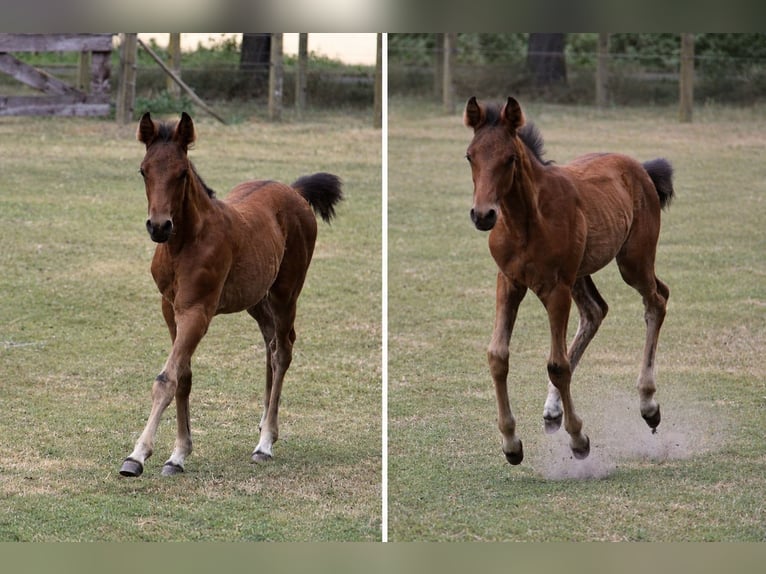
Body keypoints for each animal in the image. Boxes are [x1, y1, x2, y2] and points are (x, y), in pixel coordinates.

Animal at [119, 112, 343, 477]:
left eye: (182, 173)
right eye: (143, 170)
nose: (159, 226)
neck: (185, 243)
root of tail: (294, 191)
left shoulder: (197, 311)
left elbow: (167, 378)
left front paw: (137, 456)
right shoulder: (170, 309)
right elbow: (183, 376)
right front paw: (179, 454)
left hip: (285, 293)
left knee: (283, 351)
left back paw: (265, 443)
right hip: (256, 299)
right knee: (270, 346)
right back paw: (265, 425)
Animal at [463, 96, 674, 466]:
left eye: (510, 158)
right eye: (470, 155)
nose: (483, 215)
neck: (525, 222)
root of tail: (640, 169)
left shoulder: (555, 289)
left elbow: (557, 364)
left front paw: (578, 439)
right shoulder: (509, 282)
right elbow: (498, 356)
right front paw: (511, 444)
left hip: (632, 262)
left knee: (656, 300)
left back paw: (648, 405)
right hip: (581, 272)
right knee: (596, 311)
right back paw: (552, 411)